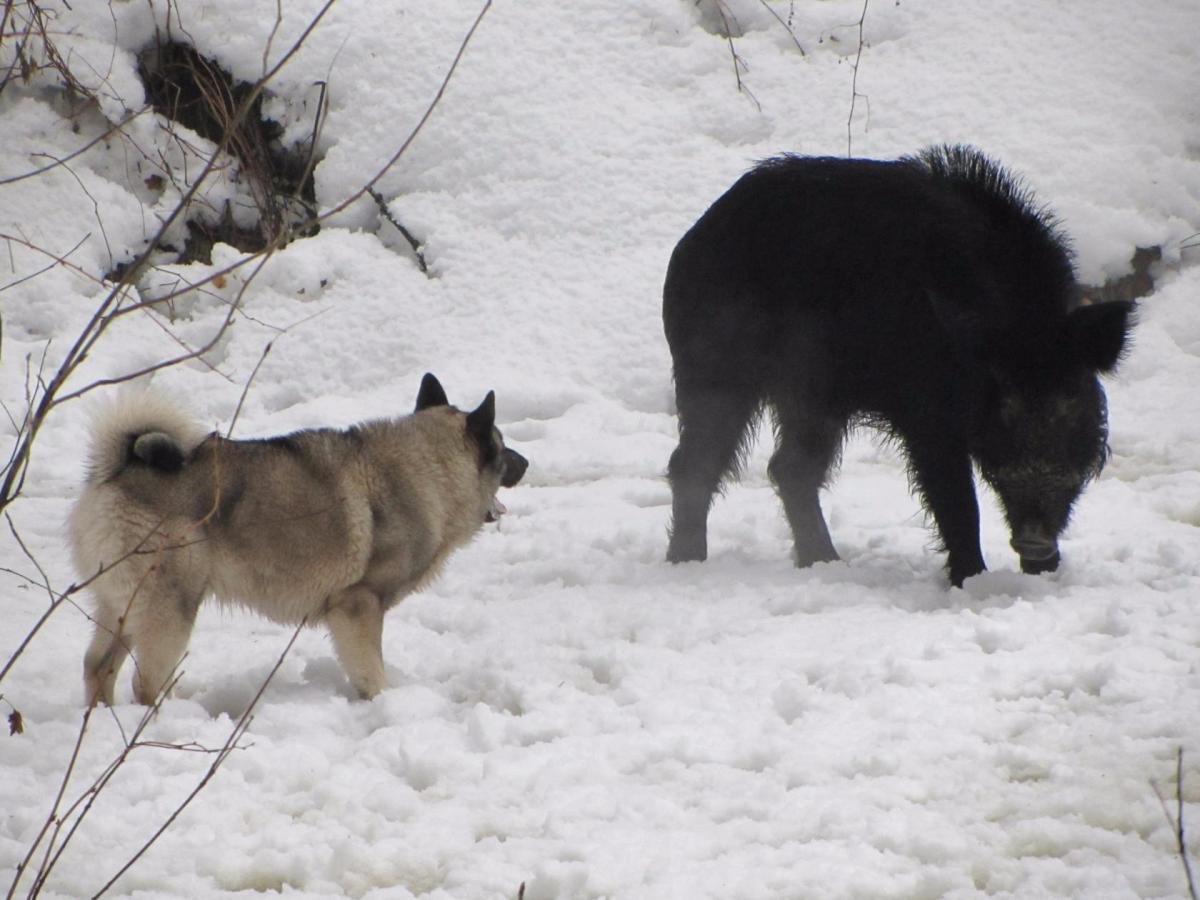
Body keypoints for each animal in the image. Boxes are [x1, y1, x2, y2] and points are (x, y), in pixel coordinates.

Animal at [68, 374, 528, 705]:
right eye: (502, 447)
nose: (526, 462)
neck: (429, 468)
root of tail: (117, 471)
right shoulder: (358, 607)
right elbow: (372, 672)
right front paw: (384, 705)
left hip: (122, 609)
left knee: (97, 667)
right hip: (170, 610)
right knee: (144, 685)